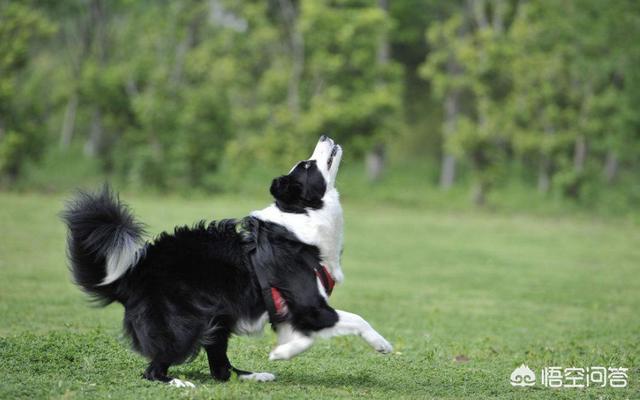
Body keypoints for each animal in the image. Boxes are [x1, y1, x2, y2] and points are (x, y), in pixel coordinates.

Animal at [62, 136, 392, 386]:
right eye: (307, 165)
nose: (324, 137)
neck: (303, 216)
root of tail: (133, 273)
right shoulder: (309, 304)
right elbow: (355, 318)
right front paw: (382, 344)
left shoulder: (290, 309)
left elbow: (305, 336)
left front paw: (283, 352)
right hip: (184, 325)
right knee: (154, 370)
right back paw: (178, 382)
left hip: (217, 317)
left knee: (220, 369)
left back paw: (253, 375)